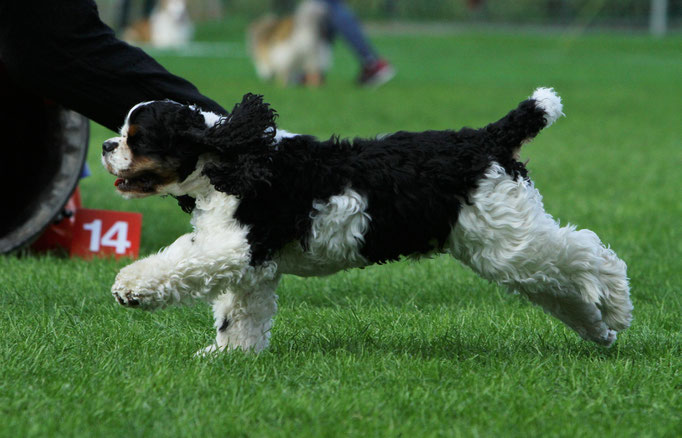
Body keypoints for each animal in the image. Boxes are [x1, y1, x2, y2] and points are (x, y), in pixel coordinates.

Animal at [102, 89, 632, 356]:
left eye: (137, 136)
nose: (107, 146)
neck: (229, 161)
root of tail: (488, 139)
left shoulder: (235, 246)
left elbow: (175, 263)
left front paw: (129, 287)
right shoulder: (252, 265)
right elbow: (240, 315)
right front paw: (230, 356)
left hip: (509, 241)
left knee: (591, 254)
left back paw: (617, 308)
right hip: (501, 247)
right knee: (562, 286)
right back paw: (600, 332)